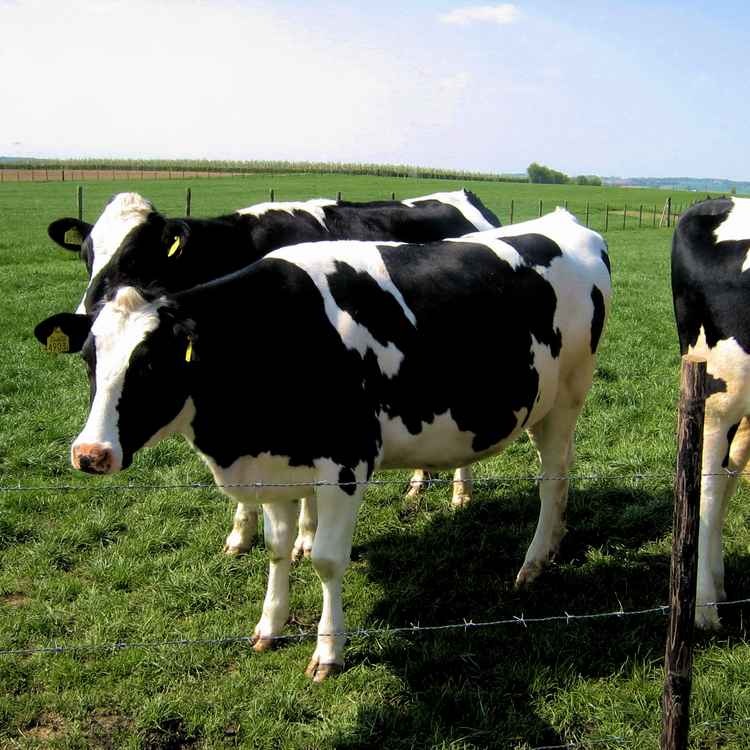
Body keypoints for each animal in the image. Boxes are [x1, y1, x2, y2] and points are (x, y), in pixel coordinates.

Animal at [36, 189, 501, 555]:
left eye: (134, 255)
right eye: (86, 256)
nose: (85, 318)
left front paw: (305, 539)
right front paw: (241, 536)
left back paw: (461, 492)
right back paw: (419, 482)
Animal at [66, 209, 611, 680]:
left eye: (150, 364)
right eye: (89, 359)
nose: (90, 453)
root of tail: (564, 220)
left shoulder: (347, 463)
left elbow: (328, 560)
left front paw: (328, 651)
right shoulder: (274, 466)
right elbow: (277, 549)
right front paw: (269, 625)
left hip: (566, 397)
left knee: (552, 480)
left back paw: (534, 561)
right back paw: (554, 541)